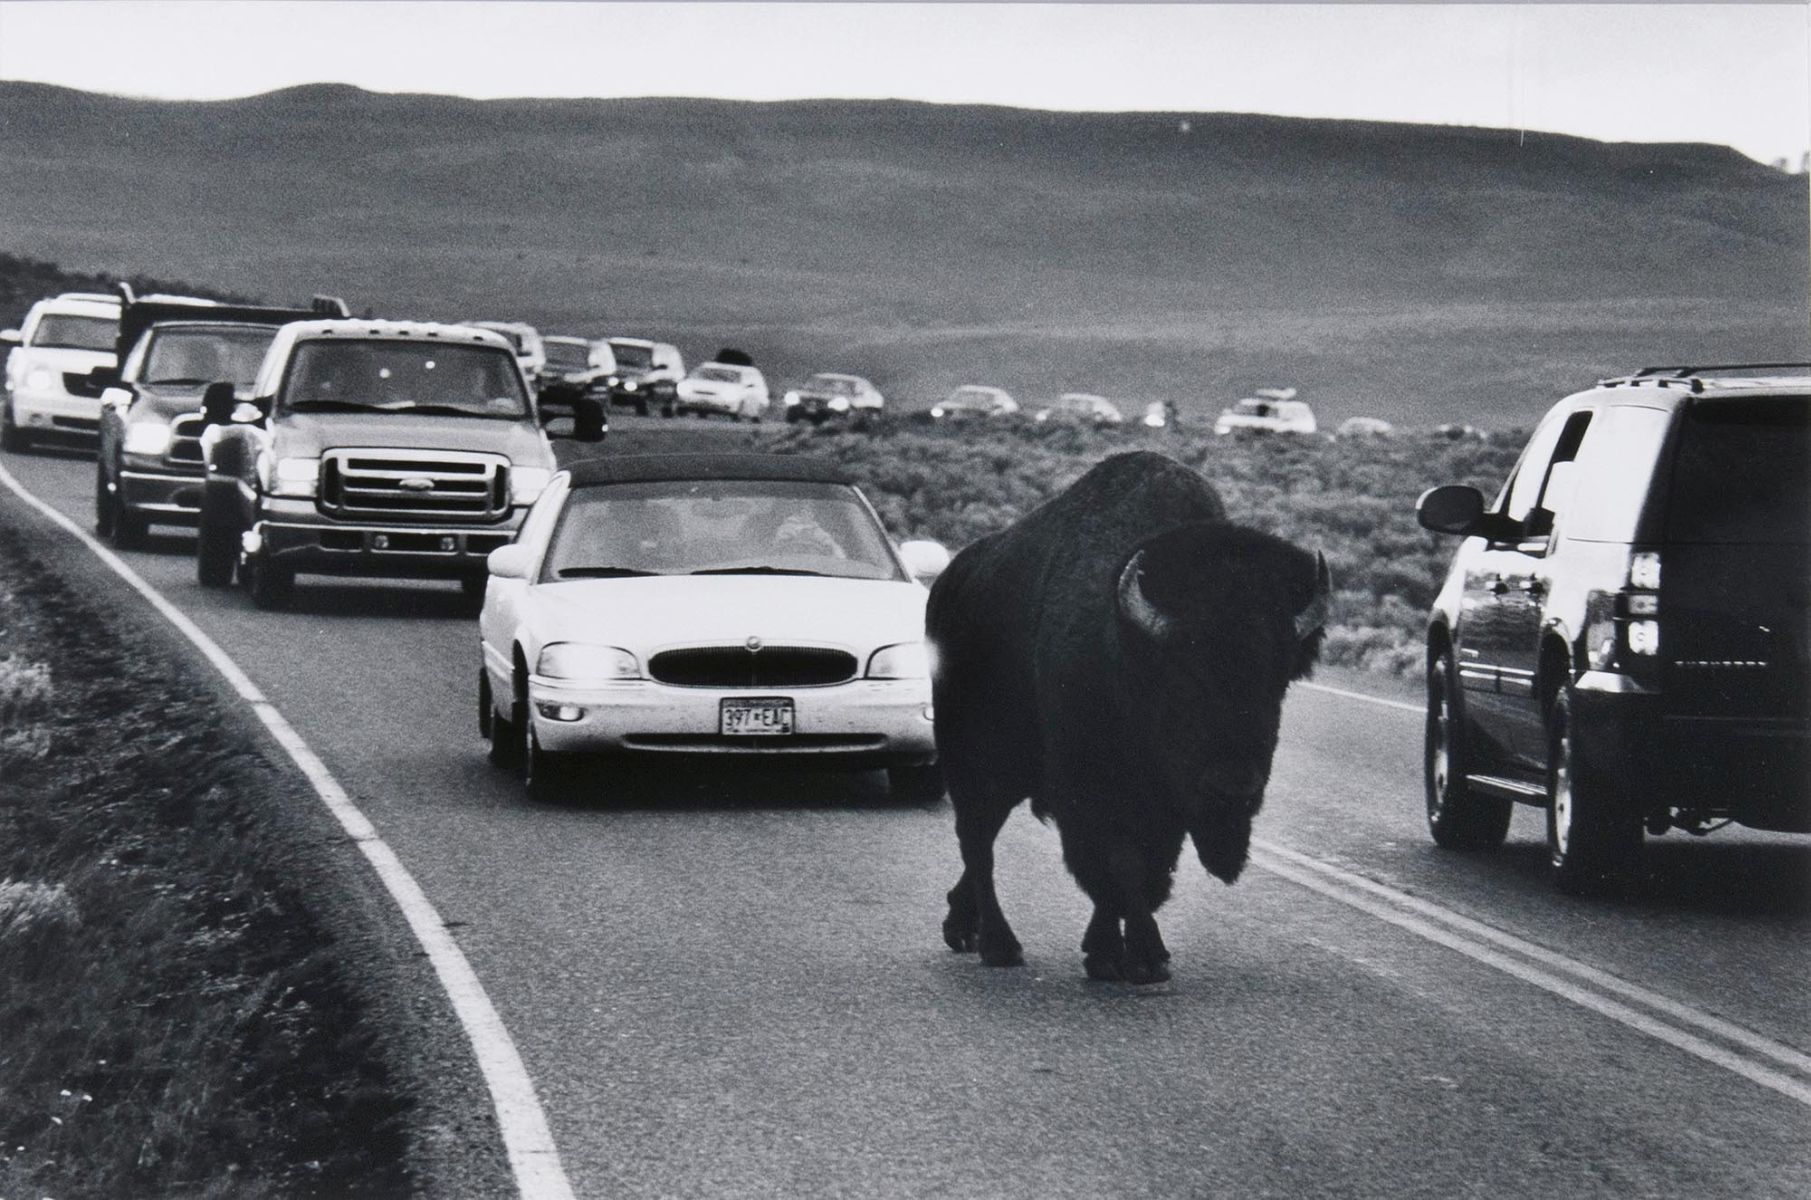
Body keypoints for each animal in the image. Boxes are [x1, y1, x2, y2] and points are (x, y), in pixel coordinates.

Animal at [927, 450, 1325, 984]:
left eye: (1278, 679)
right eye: (1184, 676)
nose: (1235, 786)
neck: (1131, 657)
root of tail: (949, 583)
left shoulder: (1166, 805)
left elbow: (1147, 872)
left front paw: (1108, 953)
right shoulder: (1091, 794)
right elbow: (1120, 866)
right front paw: (1143, 957)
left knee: (980, 844)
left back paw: (962, 926)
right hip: (975, 761)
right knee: (978, 841)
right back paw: (998, 945)